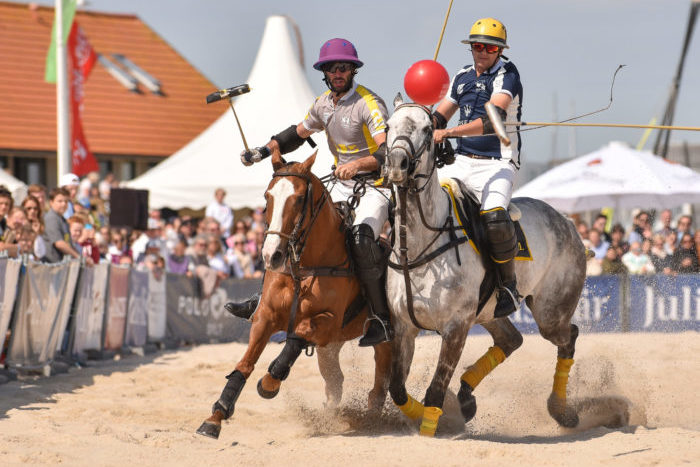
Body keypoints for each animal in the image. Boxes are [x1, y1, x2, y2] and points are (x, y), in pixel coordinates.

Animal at [197, 152, 392, 440]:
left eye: (299, 198)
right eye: (267, 196)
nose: (271, 256)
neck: (305, 265)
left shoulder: (329, 321)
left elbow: (297, 335)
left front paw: (269, 384)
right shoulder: (265, 317)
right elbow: (245, 363)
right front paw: (215, 417)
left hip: (386, 334)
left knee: (383, 372)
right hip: (332, 345)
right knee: (336, 381)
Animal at [382, 93, 584, 436]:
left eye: (427, 129)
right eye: (387, 126)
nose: (397, 164)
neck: (420, 247)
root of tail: (568, 221)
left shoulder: (456, 326)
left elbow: (435, 390)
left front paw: (433, 426)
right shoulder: (404, 327)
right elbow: (396, 389)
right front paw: (443, 415)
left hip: (550, 311)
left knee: (568, 336)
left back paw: (560, 411)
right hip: (489, 311)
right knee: (512, 339)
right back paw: (466, 398)